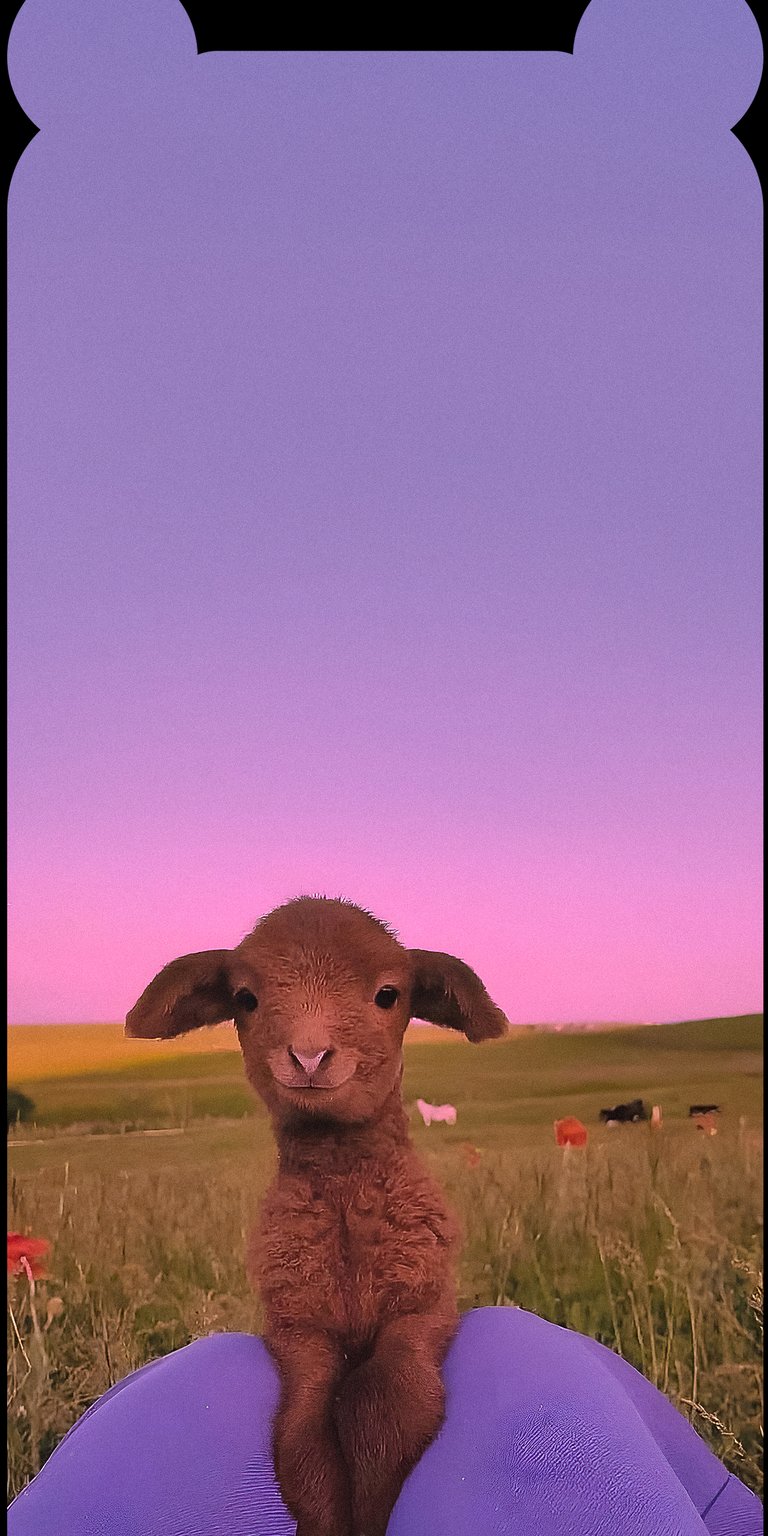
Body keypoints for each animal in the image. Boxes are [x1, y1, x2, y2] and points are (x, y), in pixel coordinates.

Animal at [125, 896, 507, 1536]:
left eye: (388, 995)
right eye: (245, 999)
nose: (308, 1055)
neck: (347, 1207)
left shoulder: (421, 1307)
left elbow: (386, 1407)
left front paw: (375, 1509)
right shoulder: (297, 1328)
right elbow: (303, 1438)